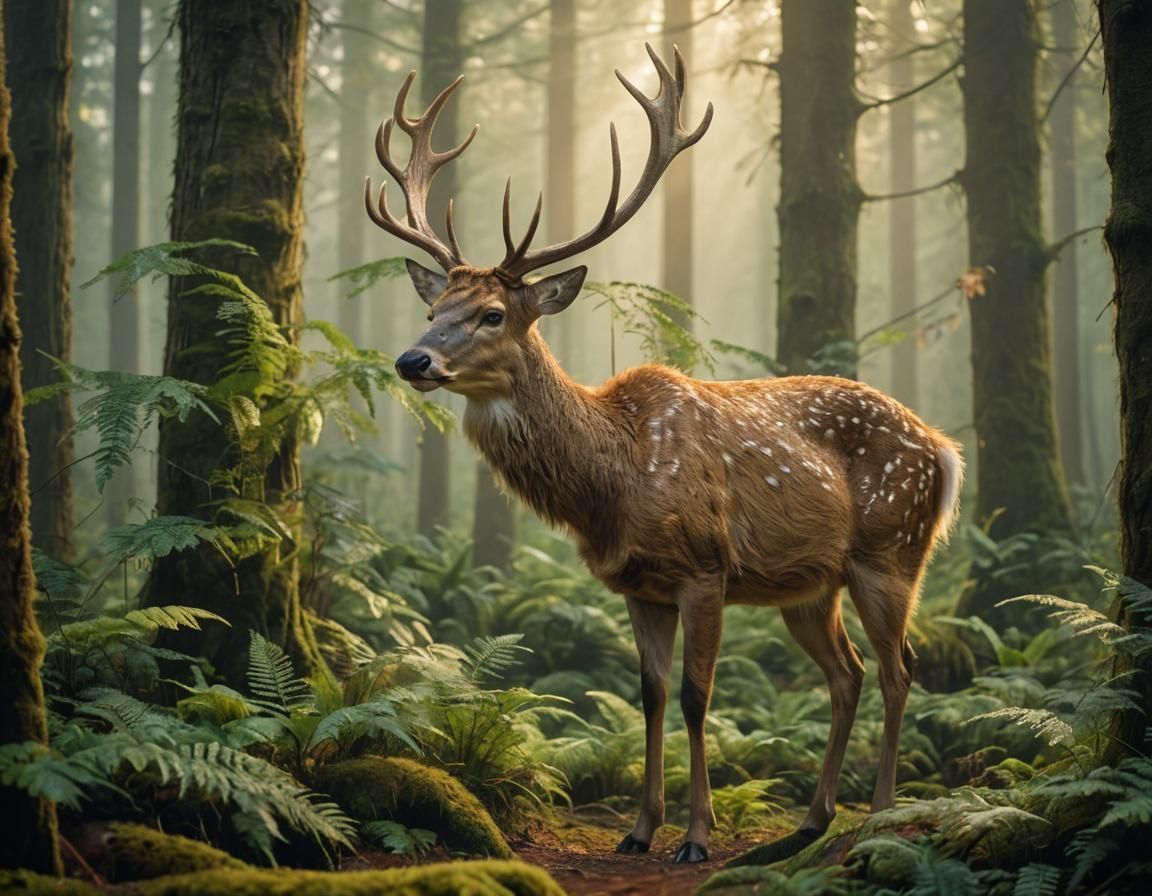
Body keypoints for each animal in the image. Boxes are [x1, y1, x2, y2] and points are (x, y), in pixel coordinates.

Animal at [366, 45, 964, 864]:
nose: (411, 359)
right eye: (433, 308)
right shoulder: (636, 583)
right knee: (847, 674)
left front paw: (697, 837)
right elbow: (647, 695)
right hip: (812, 585)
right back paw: (811, 821)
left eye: (491, 314)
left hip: (891, 550)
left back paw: (876, 814)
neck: (613, 486)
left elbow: (693, 694)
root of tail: (944, 449)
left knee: (900, 670)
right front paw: (640, 829)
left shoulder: (706, 566)